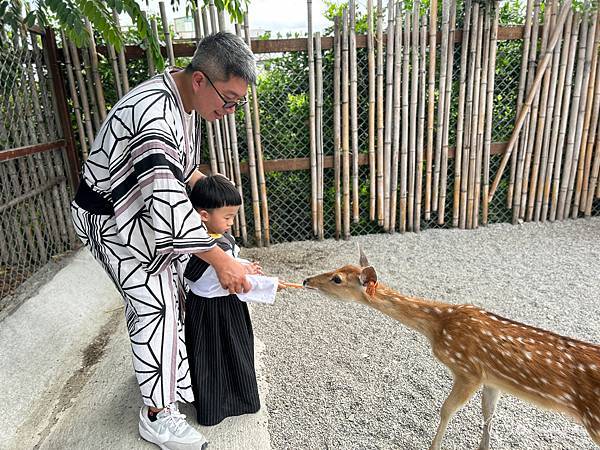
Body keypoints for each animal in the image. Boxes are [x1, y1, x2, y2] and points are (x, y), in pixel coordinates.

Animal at [302, 248, 600, 448]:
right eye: (337, 268)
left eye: (337, 279)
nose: (306, 281)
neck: (438, 327)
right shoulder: (493, 379)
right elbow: (488, 414)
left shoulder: (468, 371)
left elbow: (446, 410)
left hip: (594, 420)